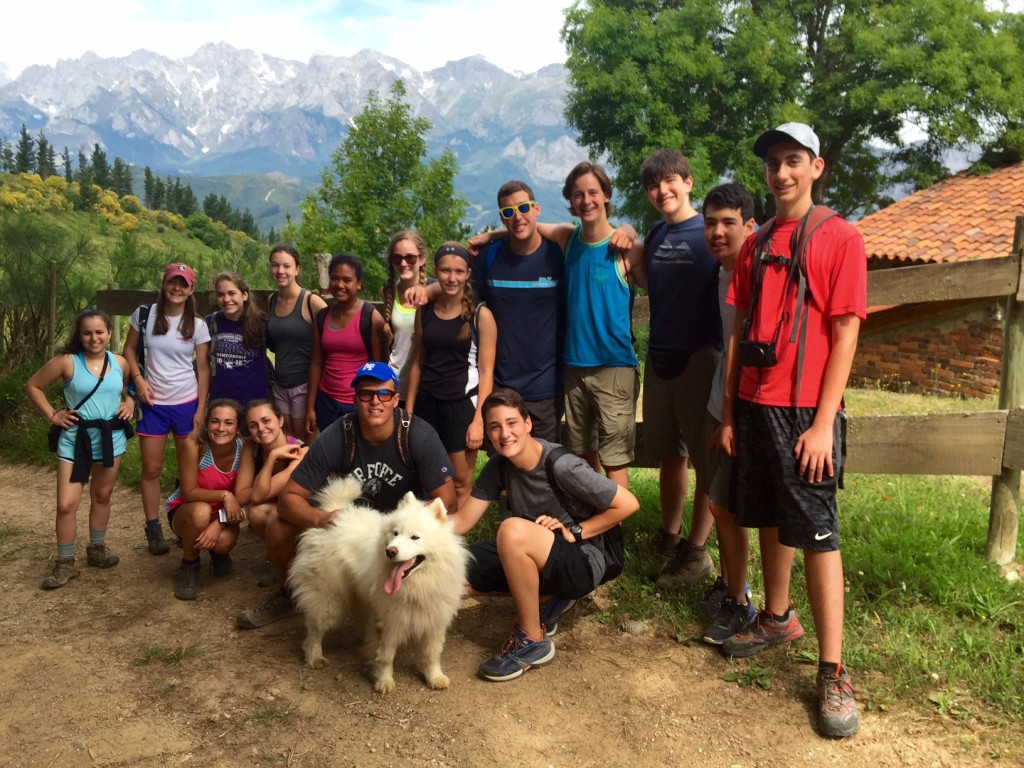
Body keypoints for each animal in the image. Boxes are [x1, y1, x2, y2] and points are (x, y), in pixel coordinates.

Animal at [284, 479, 468, 696]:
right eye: (395, 533)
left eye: (415, 537)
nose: (390, 551)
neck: (418, 584)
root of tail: (334, 514)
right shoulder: (388, 623)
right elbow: (386, 657)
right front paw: (384, 681)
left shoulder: (434, 621)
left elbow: (431, 654)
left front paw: (435, 677)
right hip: (328, 601)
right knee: (314, 631)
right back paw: (315, 657)